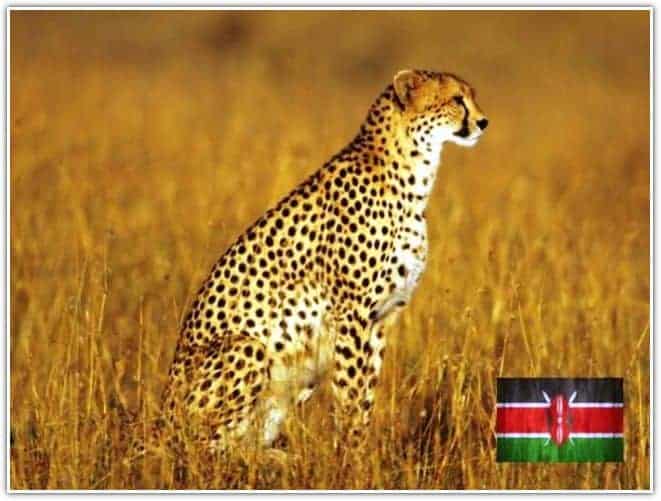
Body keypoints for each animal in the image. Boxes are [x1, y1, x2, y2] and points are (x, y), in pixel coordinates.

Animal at [133, 69, 488, 459]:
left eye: (471, 96)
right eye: (456, 99)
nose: (483, 121)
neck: (411, 171)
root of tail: (159, 418)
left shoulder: (381, 318)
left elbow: (366, 395)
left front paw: (359, 452)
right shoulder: (352, 313)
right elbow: (350, 393)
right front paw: (350, 456)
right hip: (250, 347)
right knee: (195, 447)